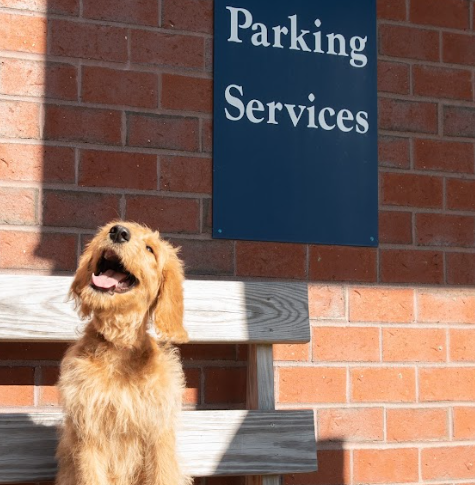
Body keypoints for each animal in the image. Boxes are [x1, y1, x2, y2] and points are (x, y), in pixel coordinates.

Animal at [54, 221, 192, 484]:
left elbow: (162, 475)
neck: (118, 346)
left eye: (150, 249)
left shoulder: (158, 433)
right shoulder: (88, 432)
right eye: (111, 228)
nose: (118, 232)